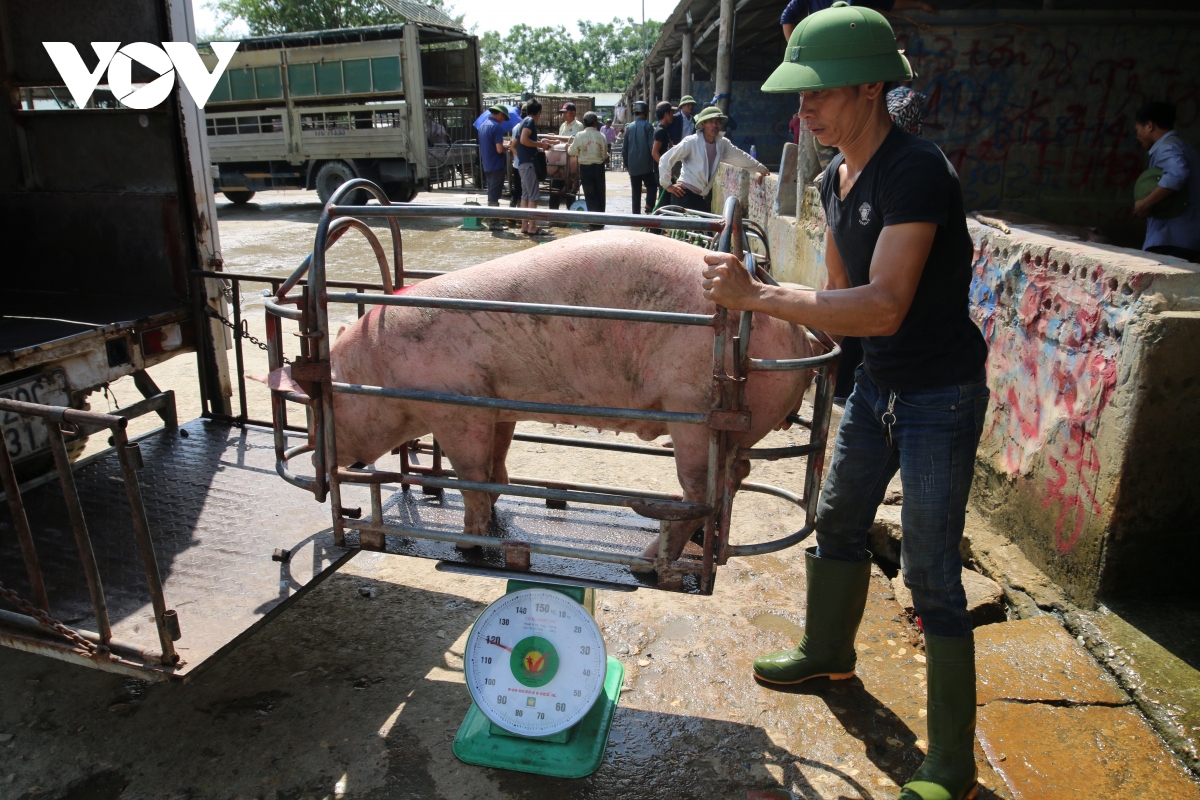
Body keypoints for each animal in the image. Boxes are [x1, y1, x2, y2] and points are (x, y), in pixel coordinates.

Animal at [272, 231, 816, 566]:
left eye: (321, 406)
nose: (318, 464)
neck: (377, 373)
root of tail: (798, 335)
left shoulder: (456, 405)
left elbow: (470, 475)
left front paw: (468, 547)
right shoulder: (497, 403)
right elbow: (495, 469)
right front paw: (496, 519)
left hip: (694, 414)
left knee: (699, 493)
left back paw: (645, 564)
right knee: (735, 474)